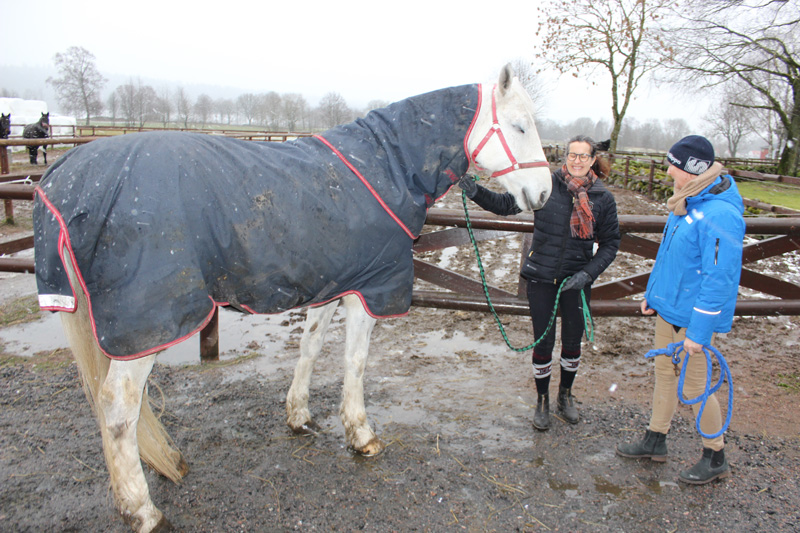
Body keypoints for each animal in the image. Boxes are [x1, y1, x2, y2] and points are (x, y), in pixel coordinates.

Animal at [34, 64, 552, 528]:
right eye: (520, 125)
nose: (545, 193)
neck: (386, 167)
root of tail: (61, 179)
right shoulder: (368, 290)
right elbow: (355, 362)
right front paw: (360, 433)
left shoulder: (331, 284)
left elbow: (310, 347)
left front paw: (298, 415)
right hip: (149, 322)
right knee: (119, 407)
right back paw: (142, 510)